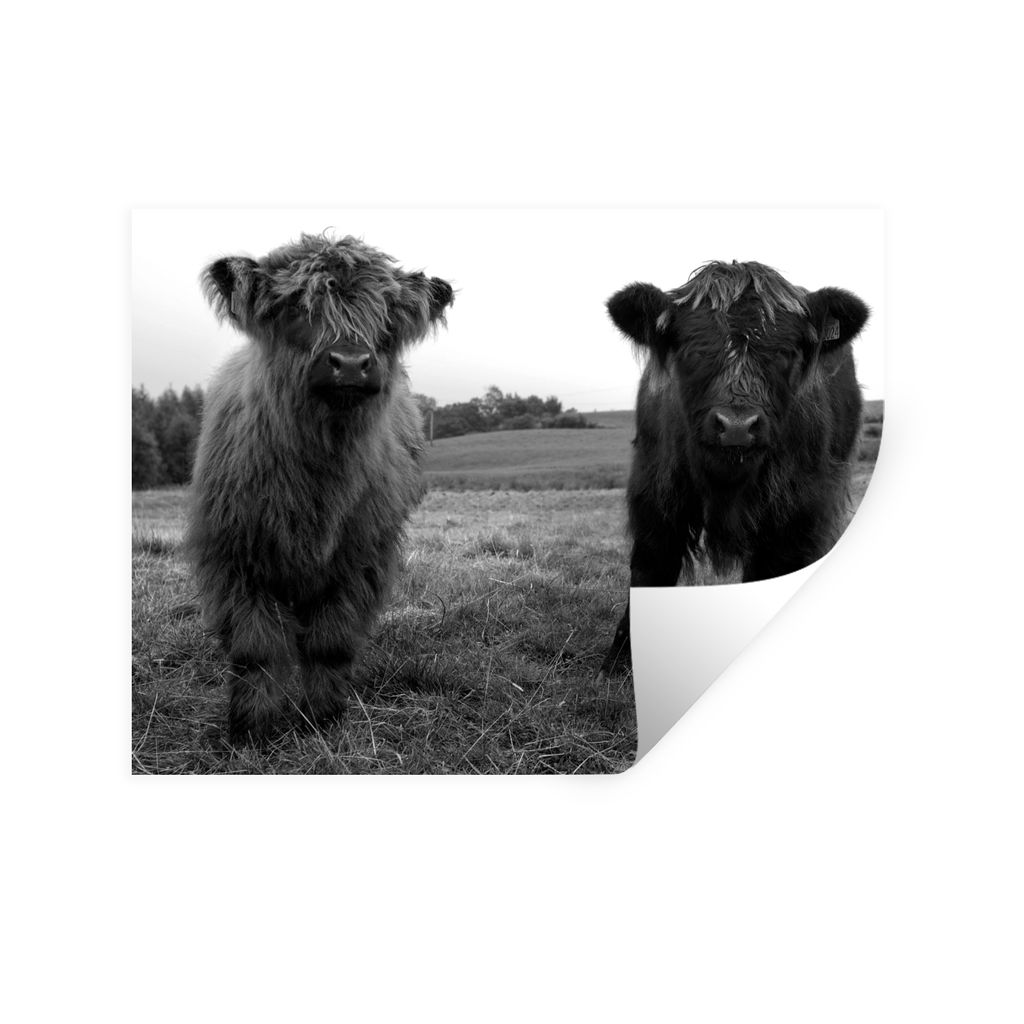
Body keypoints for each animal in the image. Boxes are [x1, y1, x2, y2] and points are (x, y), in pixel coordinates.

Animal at [185, 232, 454, 744]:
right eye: (296, 307)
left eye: (386, 317)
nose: (349, 363)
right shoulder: (234, 558)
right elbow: (256, 649)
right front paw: (251, 728)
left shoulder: (359, 561)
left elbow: (330, 642)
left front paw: (322, 718)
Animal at [597, 260, 869, 679]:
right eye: (692, 349)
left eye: (786, 352)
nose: (737, 426)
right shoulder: (655, 497)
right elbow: (649, 570)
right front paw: (621, 662)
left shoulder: (796, 518)